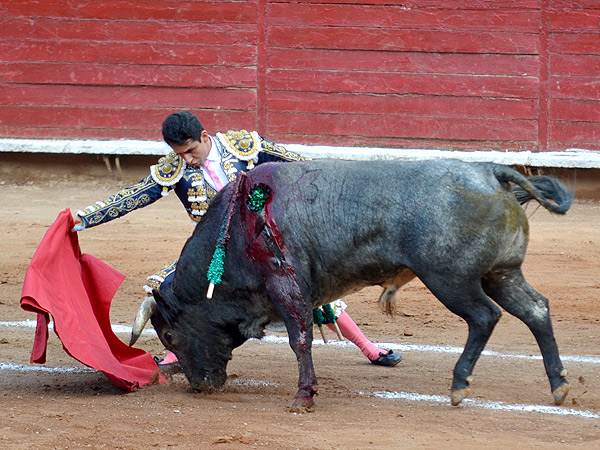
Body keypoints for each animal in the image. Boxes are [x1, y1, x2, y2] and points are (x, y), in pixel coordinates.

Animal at [131, 158, 572, 412]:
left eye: (169, 335)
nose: (201, 387)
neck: (236, 225)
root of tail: (491, 172)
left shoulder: (285, 285)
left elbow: (300, 340)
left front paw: (303, 396)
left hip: (451, 279)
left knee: (484, 317)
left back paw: (459, 385)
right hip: (501, 273)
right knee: (536, 309)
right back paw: (559, 386)